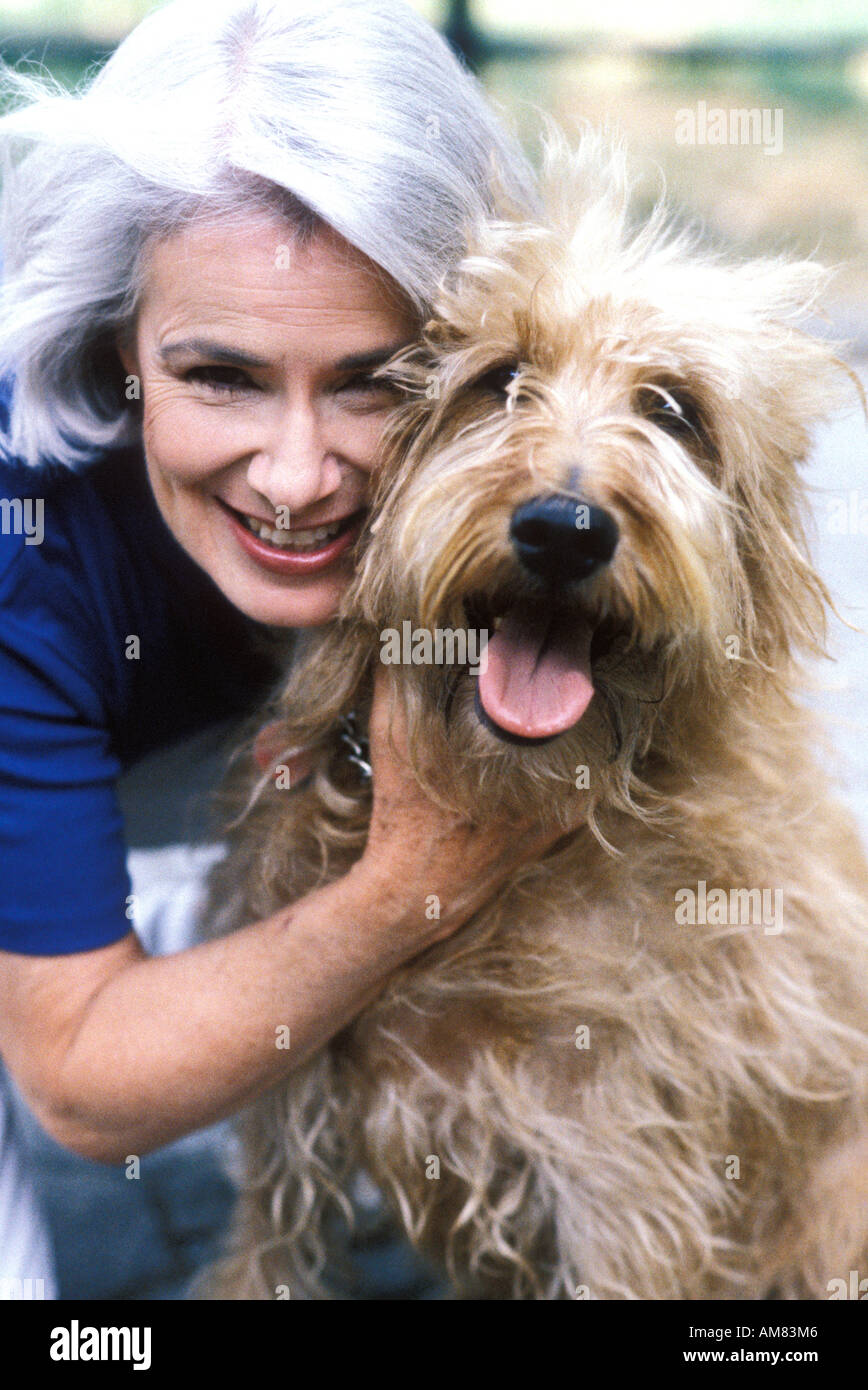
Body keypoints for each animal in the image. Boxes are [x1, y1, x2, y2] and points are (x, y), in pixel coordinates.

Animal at [200, 132, 868, 1301]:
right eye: (497, 381)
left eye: (673, 410)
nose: (564, 528)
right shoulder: (289, 1126)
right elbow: (264, 1256)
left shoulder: (618, 1177)